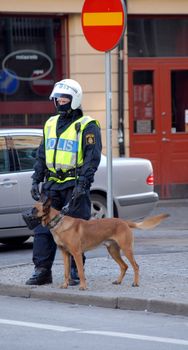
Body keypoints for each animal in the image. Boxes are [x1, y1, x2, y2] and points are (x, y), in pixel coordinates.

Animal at [33, 200, 170, 290]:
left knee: (136, 266)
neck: (58, 223)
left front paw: (83, 286)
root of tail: (124, 222)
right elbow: (66, 272)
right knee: (124, 266)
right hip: (113, 252)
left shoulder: (76, 254)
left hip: (126, 250)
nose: (27, 213)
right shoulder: (65, 254)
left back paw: (135, 283)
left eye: (34, 210)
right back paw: (118, 281)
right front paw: (65, 285)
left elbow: (81, 272)